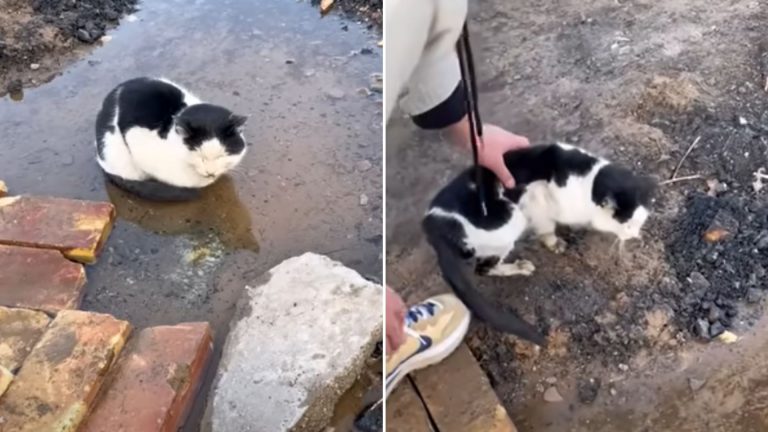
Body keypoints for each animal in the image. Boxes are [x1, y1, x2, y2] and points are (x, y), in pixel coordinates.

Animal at [424, 143, 656, 346]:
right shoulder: (539, 201)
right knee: (483, 268)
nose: (634, 235)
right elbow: (547, 228)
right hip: (510, 221)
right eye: (627, 225)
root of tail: (433, 223)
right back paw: (520, 267)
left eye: (640, 222)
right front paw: (554, 243)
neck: (589, 184)